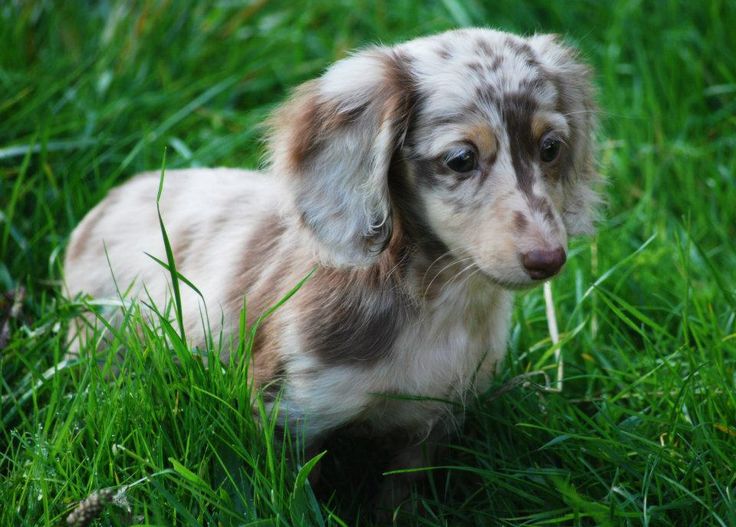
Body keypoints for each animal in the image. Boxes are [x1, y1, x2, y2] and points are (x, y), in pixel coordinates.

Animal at [61, 27, 600, 512]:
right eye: (461, 159)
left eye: (551, 148)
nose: (548, 259)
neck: (434, 303)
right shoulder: (289, 416)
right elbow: (295, 499)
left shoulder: (430, 422)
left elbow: (398, 498)